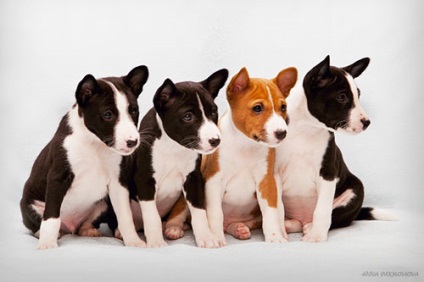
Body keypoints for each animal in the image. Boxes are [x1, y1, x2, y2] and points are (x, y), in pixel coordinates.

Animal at [19, 66, 149, 249]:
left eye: (134, 111)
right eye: (108, 114)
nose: (132, 142)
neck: (95, 144)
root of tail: (70, 227)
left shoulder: (118, 183)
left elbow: (125, 216)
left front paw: (133, 240)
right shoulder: (58, 178)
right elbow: (51, 216)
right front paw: (47, 244)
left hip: (104, 204)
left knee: (88, 223)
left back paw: (88, 230)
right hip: (29, 205)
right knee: (42, 221)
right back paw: (43, 234)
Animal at [110, 69, 229, 248]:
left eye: (213, 112)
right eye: (188, 116)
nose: (215, 140)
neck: (174, 147)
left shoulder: (193, 179)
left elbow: (199, 211)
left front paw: (206, 237)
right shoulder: (145, 180)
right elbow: (152, 216)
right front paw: (156, 241)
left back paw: (174, 228)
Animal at [203, 67, 298, 246]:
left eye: (283, 107)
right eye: (257, 108)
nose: (282, 133)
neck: (245, 145)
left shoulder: (266, 182)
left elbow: (270, 212)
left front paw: (274, 236)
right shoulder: (214, 181)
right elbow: (215, 214)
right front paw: (216, 238)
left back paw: (239, 229)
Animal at [274, 55, 394, 242]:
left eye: (358, 95)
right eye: (342, 97)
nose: (367, 122)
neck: (305, 128)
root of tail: (302, 219)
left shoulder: (328, 173)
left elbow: (322, 211)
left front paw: (316, 236)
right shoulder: (274, 173)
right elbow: (277, 208)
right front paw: (279, 233)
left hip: (356, 190)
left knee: (334, 216)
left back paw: (311, 227)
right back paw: (289, 224)